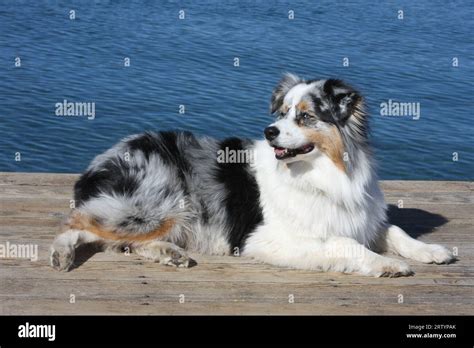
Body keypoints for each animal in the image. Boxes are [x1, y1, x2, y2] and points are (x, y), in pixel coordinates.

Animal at [50, 75, 454, 276]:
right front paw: (389, 265)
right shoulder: (268, 238)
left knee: (120, 241)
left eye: (305, 116)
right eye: (282, 113)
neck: (322, 174)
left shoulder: (360, 218)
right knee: (78, 222)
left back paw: (170, 254)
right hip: (157, 202)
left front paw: (432, 251)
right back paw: (61, 254)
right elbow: (345, 244)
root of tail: (99, 161)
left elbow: (394, 229)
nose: (269, 131)